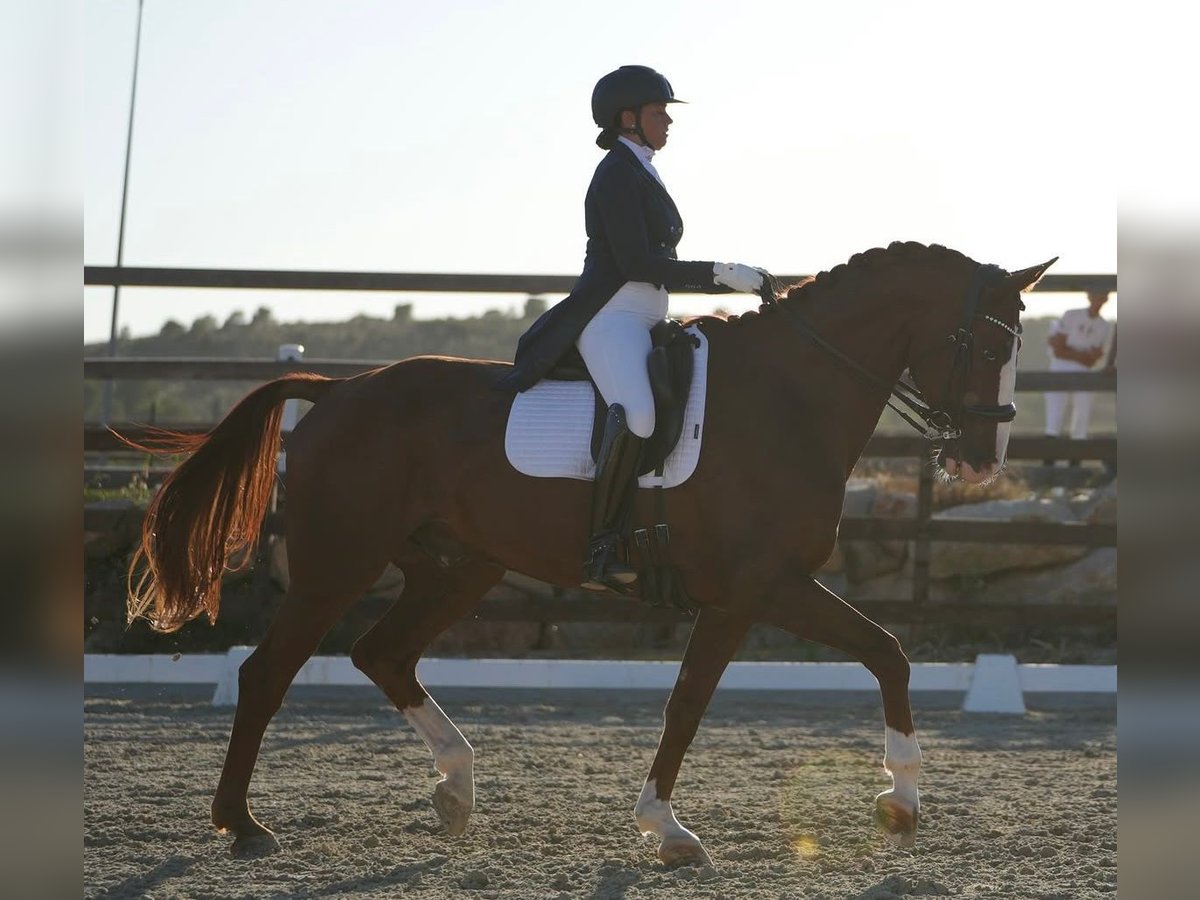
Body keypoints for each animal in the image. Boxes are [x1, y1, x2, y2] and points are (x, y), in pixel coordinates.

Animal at [126, 240, 1056, 868]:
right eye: (985, 344)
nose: (984, 461)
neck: (790, 397)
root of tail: (338, 390)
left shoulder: (766, 590)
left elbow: (885, 655)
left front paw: (899, 804)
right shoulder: (754, 589)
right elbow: (694, 703)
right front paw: (670, 829)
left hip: (459, 566)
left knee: (381, 653)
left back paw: (455, 789)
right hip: (339, 564)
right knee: (267, 672)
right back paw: (242, 824)